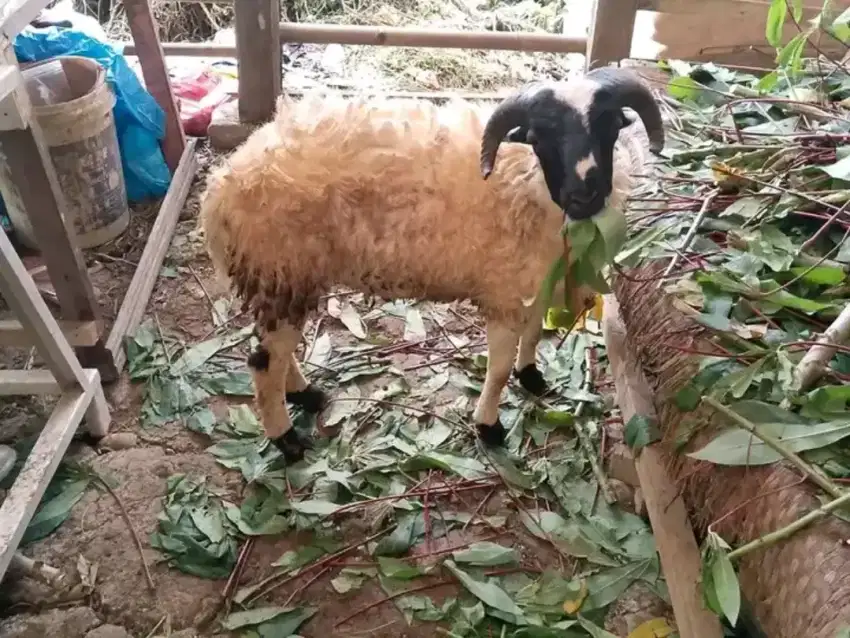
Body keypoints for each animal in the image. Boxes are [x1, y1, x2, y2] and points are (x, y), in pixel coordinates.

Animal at [199, 67, 664, 462]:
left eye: (608, 125)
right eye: (539, 134)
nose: (584, 194)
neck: (524, 182)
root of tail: (224, 182)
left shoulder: (532, 282)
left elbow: (533, 334)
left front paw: (531, 376)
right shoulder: (502, 293)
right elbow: (497, 371)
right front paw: (488, 426)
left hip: (288, 277)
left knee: (275, 350)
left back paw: (304, 394)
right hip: (281, 269)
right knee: (263, 363)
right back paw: (286, 439)